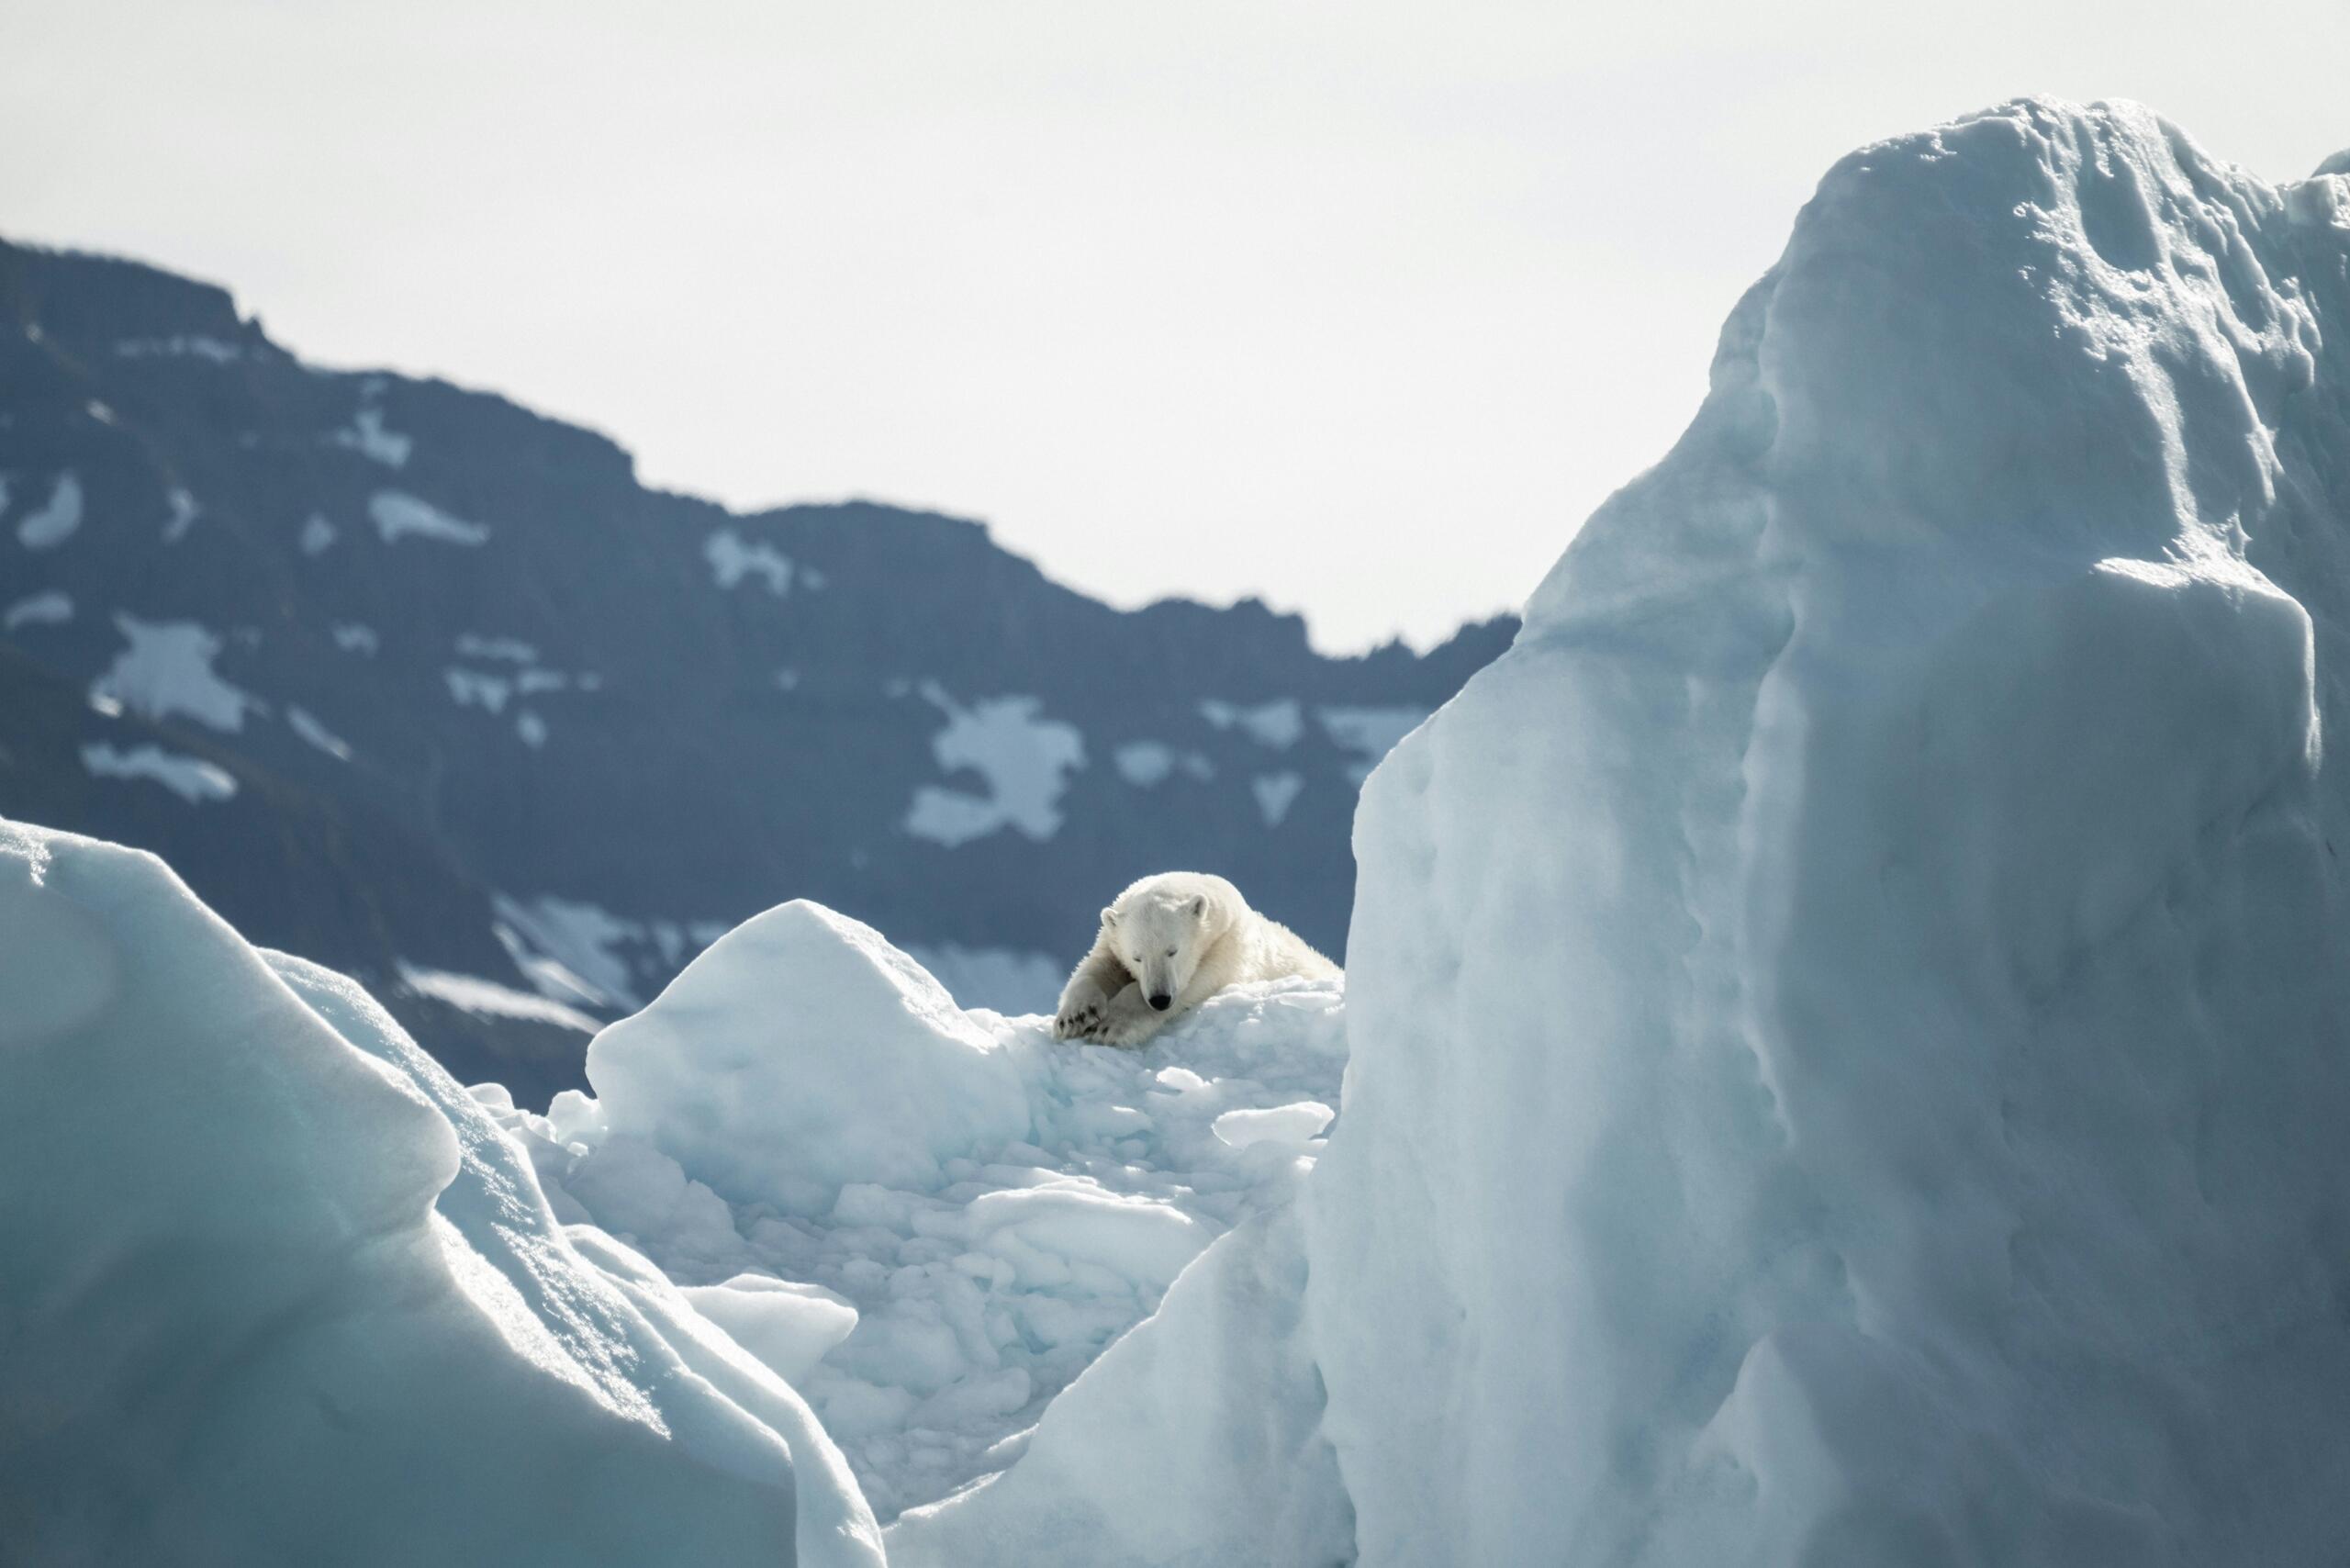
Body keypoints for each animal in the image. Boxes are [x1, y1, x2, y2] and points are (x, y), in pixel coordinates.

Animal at [1051, 871, 1340, 1047]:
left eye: (1173, 951)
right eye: (1137, 957)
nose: (1160, 999)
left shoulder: (1226, 949)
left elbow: (1195, 983)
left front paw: (1111, 1026)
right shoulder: (1111, 941)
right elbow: (1096, 967)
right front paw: (1076, 1017)